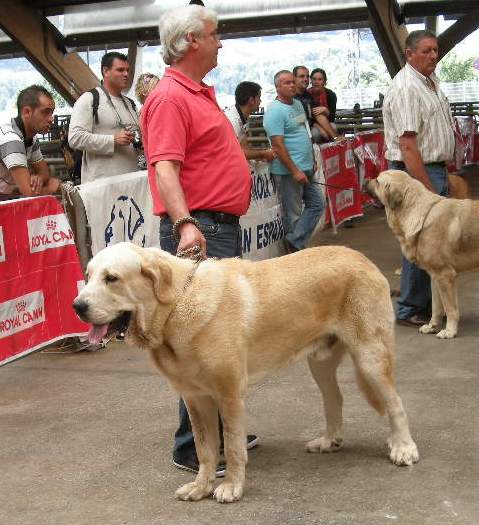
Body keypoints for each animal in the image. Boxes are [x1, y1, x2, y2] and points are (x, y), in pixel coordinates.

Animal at [72, 244, 420, 502]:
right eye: (87, 276)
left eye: (112, 278)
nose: (77, 306)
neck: (175, 308)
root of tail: (363, 258)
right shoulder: (196, 399)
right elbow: (205, 449)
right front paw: (201, 487)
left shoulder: (229, 395)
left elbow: (233, 446)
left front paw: (231, 487)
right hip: (320, 363)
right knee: (335, 399)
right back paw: (330, 440)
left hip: (371, 356)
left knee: (396, 403)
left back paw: (403, 447)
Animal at [366, 170, 478, 338]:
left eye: (378, 181)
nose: (365, 181)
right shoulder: (435, 276)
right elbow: (437, 307)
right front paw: (432, 326)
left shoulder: (445, 275)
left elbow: (450, 308)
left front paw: (449, 331)